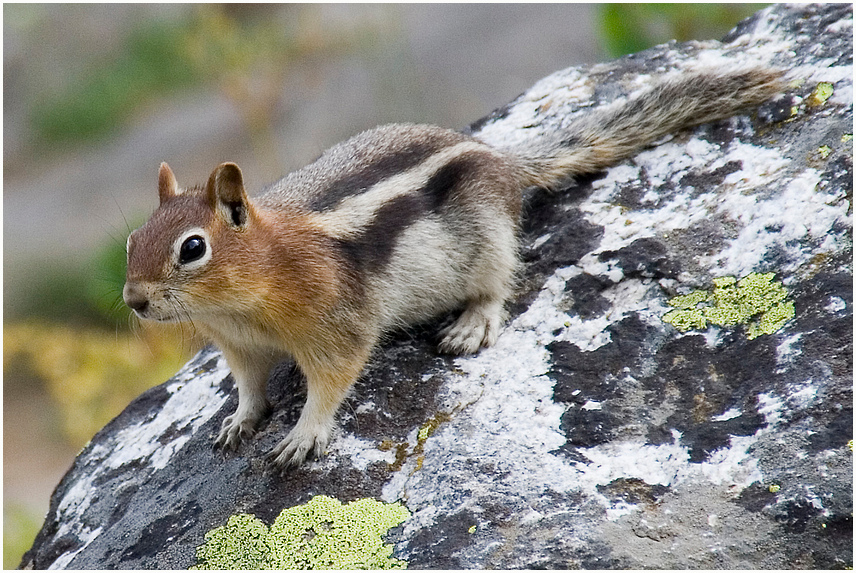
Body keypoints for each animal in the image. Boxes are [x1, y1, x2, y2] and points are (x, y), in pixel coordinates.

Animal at [125, 65, 784, 466]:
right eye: (132, 240)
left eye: (192, 248)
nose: (134, 300)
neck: (248, 296)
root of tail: (501, 157)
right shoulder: (240, 347)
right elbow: (249, 386)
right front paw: (240, 420)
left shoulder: (337, 325)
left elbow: (332, 382)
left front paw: (303, 434)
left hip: (488, 237)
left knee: (499, 282)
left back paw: (472, 323)